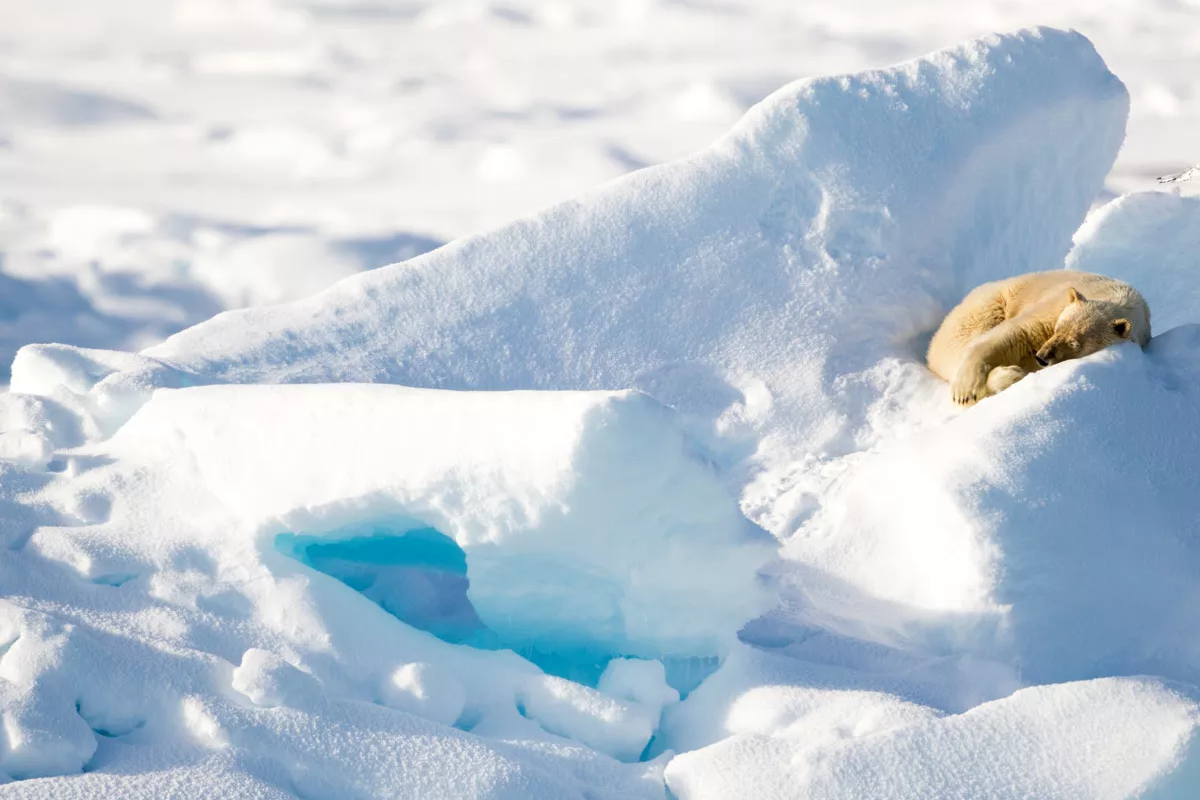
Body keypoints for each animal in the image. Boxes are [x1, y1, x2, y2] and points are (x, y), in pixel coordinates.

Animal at [926, 271, 1152, 407]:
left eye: (1075, 344)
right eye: (1058, 328)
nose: (1042, 357)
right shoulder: (1055, 305)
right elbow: (1018, 333)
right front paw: (965, 390)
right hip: (983, 308)